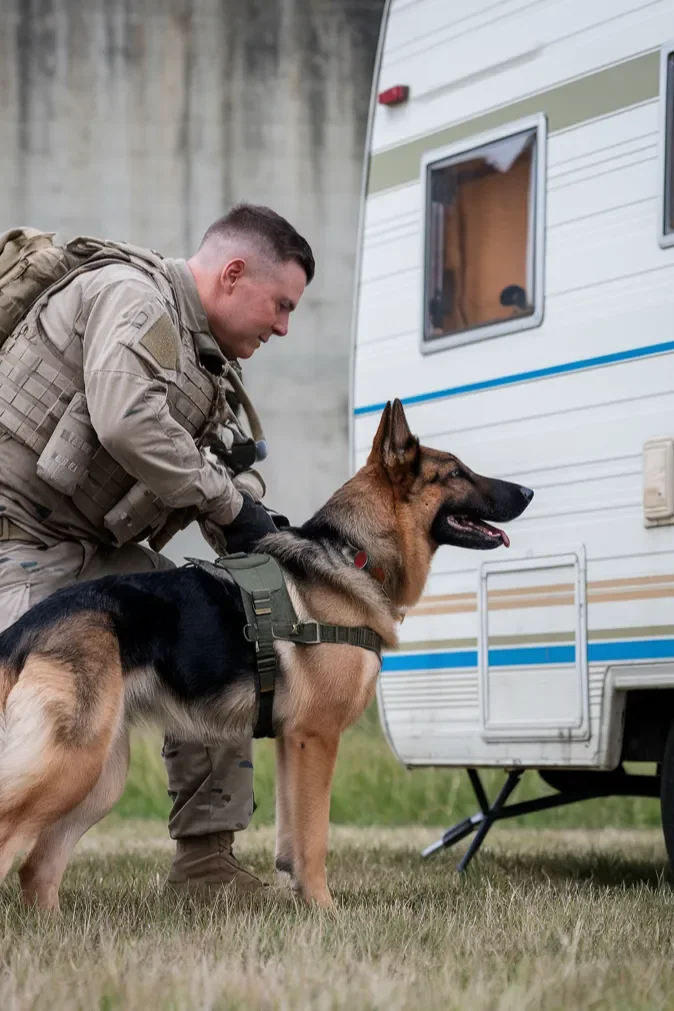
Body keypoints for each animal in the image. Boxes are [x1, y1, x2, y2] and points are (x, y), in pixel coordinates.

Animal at [0, 400, 529, 909]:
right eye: (456, 471)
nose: (527, 492)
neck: (353, 555)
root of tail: (26, 627)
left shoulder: (291, 742)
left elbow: (292, 836)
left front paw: (302, 899)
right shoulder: (316, 738)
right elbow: (314, 837)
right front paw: (325, 911)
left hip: (99, 777)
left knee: (36, 868)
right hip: (73, 764)